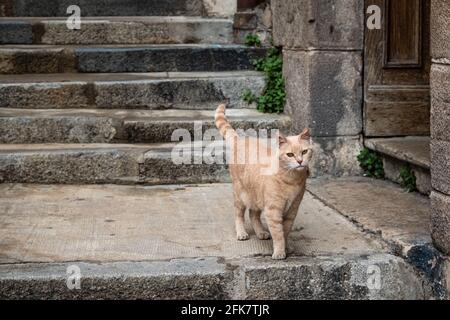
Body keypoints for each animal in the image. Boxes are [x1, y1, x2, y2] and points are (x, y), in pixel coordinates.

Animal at [214, 105, 312, 260]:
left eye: (304, 152)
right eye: (290, 154)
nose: (300, 161)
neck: (292, 180)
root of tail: (240, 139)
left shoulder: (292, 210)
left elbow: (285, 232)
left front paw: (287, 247)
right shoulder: (273, 211)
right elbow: (278, 235)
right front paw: (280, 252)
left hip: (256, 196)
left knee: (253, 215)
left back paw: (260, 232)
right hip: (240, 195)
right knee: (239, 214)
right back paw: (241, 233)